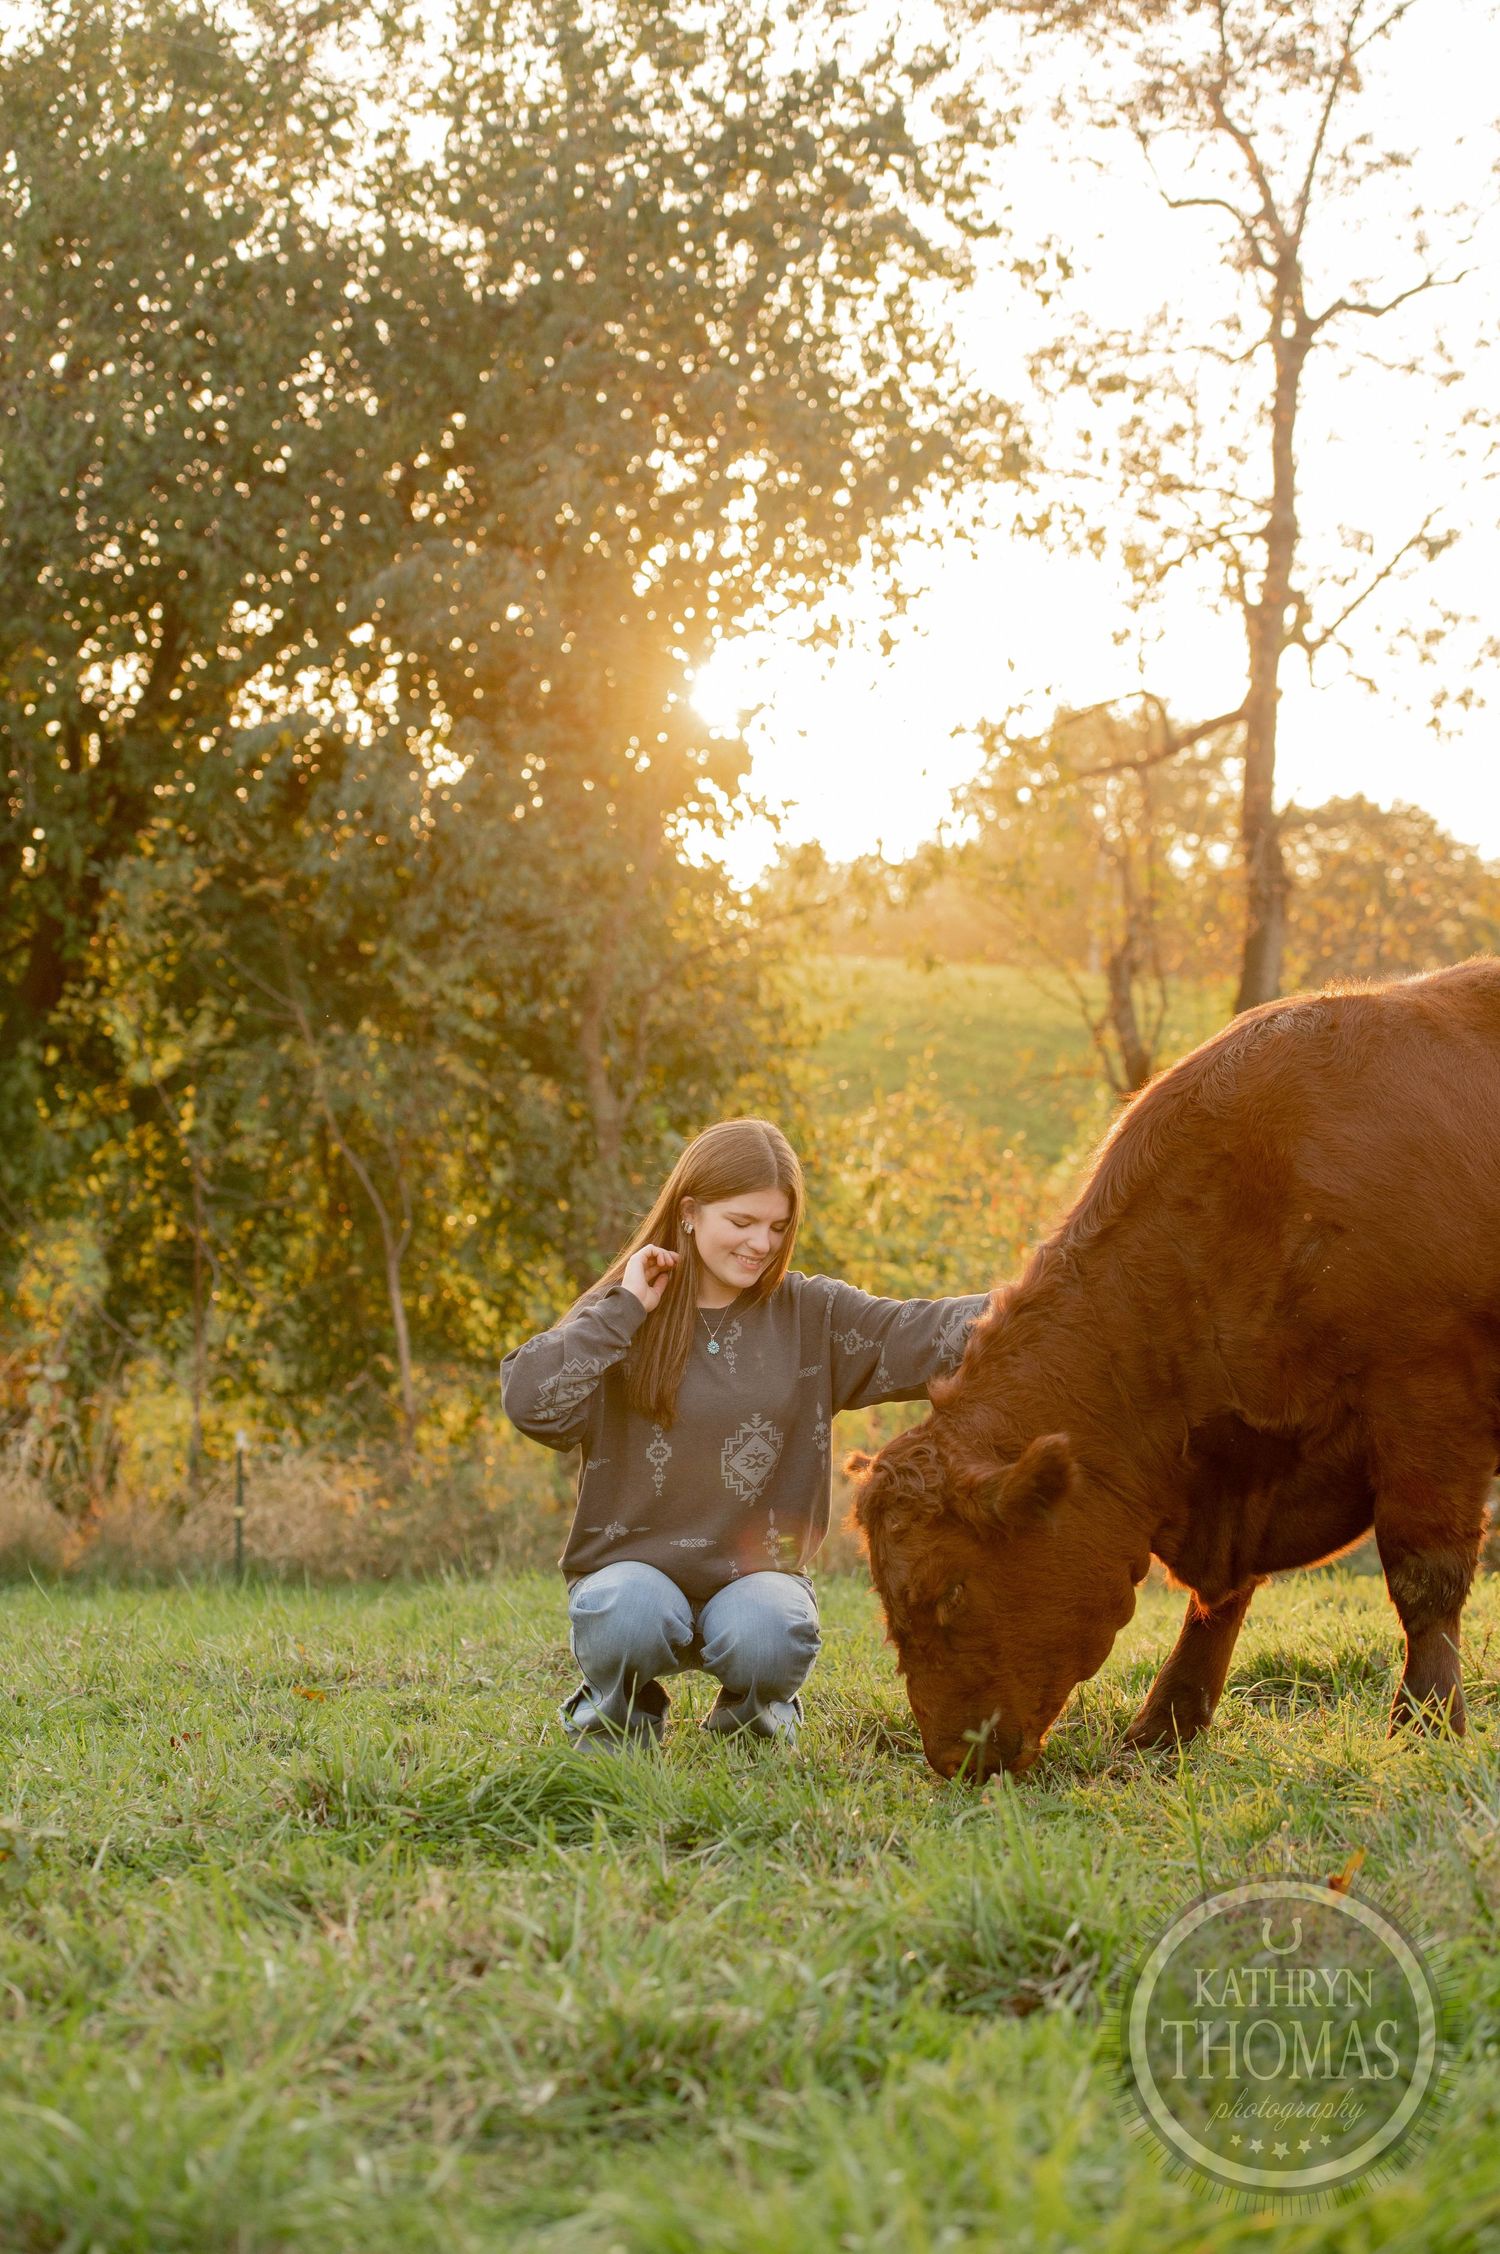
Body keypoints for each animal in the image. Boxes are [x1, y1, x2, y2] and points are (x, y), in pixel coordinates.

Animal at [847, 959, 1500, 1782]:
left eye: (947, 1591)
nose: (950, 1756)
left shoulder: (1428, 1400)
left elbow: (1425, 1577)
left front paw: (1426, 1727)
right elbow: (1217, 1601)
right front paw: (1165, 1726)